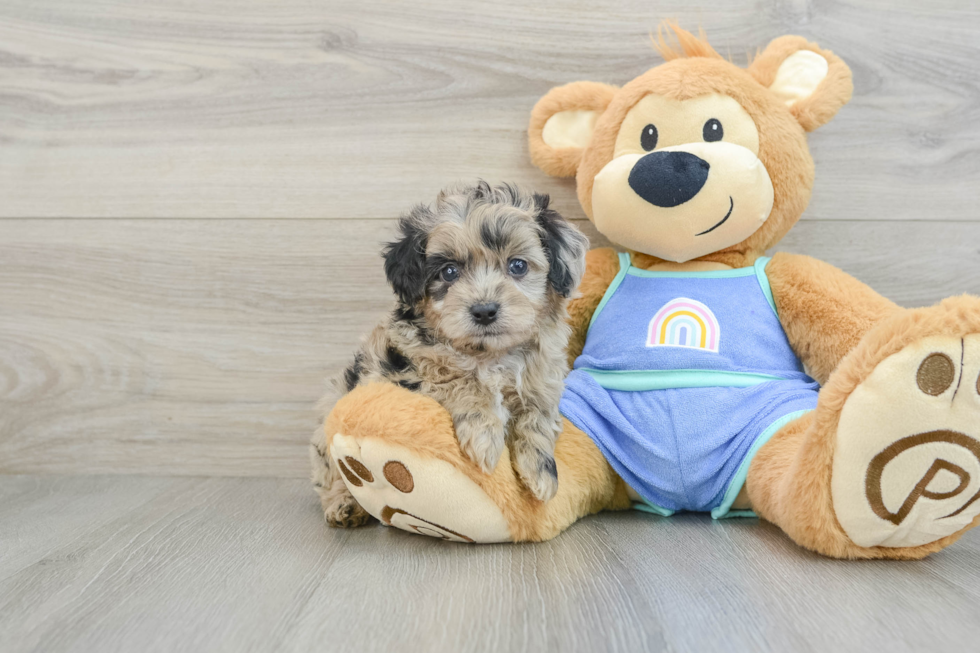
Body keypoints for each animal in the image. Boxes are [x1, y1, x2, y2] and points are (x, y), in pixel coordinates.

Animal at [314, 181, 588, 528]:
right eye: (448, 272)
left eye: (518, 265)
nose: (484, 311)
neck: (489, 354)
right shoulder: (408, 365)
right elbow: (461, 377)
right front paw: (485, 438)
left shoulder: (543, 377)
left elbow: (537, 414)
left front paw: (540, 473)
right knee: (332, 471)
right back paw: (344, 504)